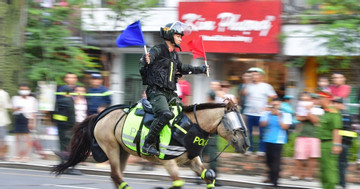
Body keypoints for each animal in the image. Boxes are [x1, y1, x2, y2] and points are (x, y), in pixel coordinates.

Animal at [53, 99, 249, 189]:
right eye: (233, 123)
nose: (246, 145)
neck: (189, 125)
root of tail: (101, 115)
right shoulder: (168, 161)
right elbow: (178, 182)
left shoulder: (191, 160)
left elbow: (208, 176)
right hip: (111, 148)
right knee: (116, 176)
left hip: (123, 152)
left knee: (116, 177)